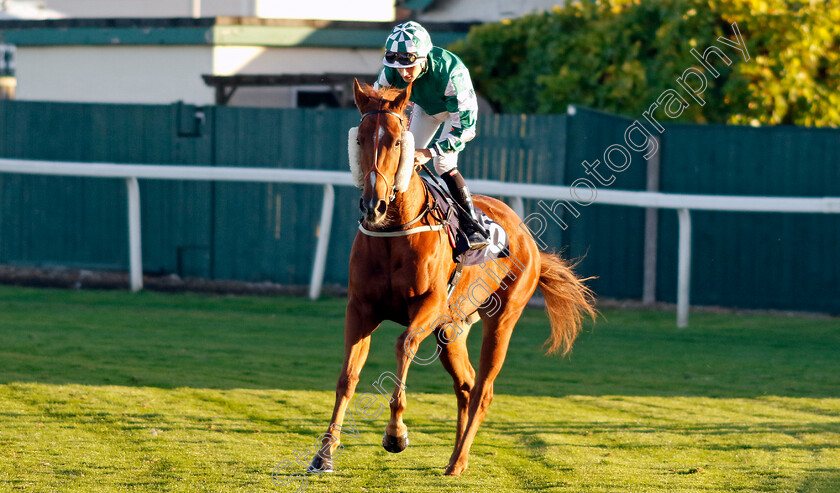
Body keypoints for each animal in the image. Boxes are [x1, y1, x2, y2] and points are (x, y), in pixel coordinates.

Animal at [306, 79, 592, 474]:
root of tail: (529, 240)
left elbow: (404, 345)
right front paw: (324, 454)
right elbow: (347, 377)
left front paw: (395, 434)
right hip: (451, 329)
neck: (395, 229)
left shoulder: (430, 304)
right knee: (467, 384)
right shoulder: (361, 308)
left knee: (484, 389)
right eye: (360, 139)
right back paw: (458, 456)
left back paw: (457, 462)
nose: (373, 205)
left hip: (502, 318)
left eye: (397, 141)